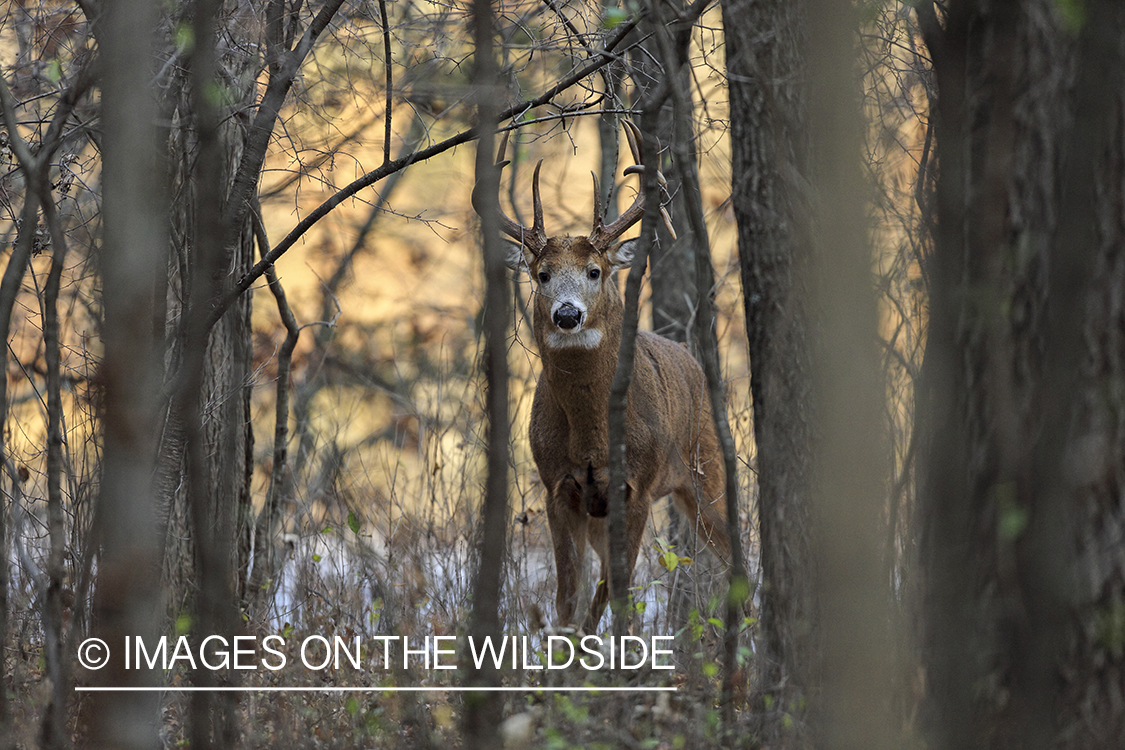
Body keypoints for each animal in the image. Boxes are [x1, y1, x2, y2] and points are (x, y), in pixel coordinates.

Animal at [479, 122, 733, 634]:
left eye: (595, 271)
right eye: (542, 274)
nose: (567, 314)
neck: (592, 433)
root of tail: (692, 360)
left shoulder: (636, 486)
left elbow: (620, 592)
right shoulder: (558, 486)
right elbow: (567, 600)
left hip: (707, 472)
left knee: (737, 558)